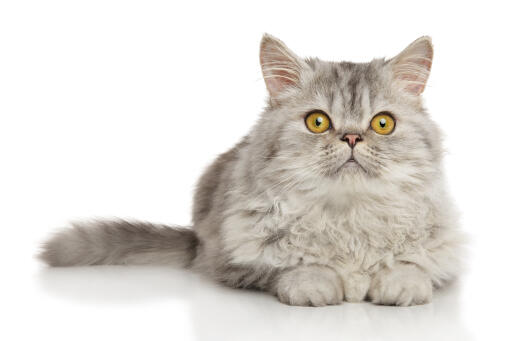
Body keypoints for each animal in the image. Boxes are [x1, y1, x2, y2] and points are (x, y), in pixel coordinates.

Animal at [40, 33, 464, 306]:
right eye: (318, 122)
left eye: (382, 123)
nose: (351, 138)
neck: (347, 217)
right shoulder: (235, 259)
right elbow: (290, 268)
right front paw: (317, 284)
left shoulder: (443, 254)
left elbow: (413, 267)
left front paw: (399, 285)